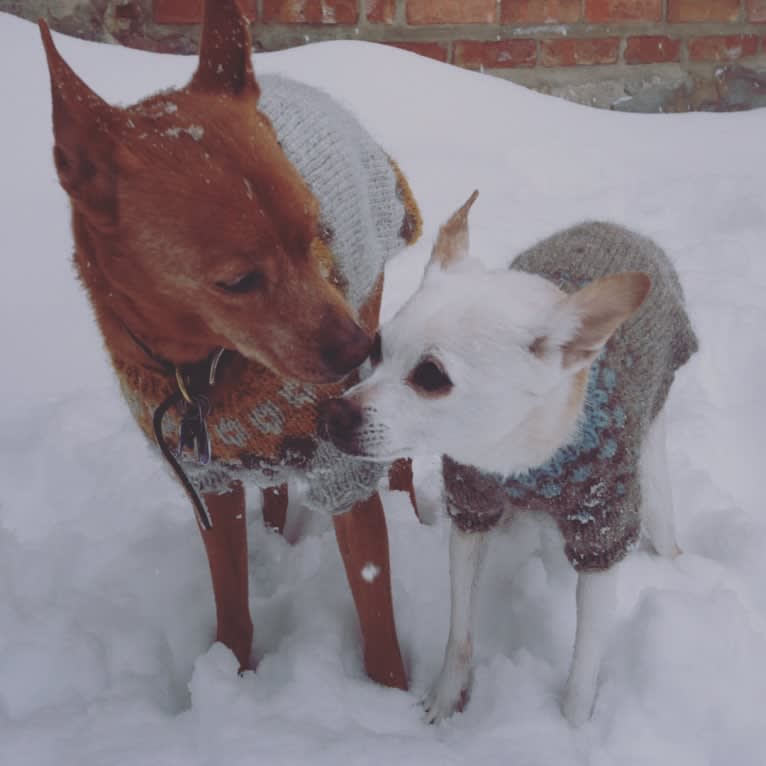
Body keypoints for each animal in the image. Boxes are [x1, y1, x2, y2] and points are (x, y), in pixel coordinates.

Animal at [39, 0, 424, 688]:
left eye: (318, 234)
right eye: (239, 280)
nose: (358, 352)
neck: (201, 372)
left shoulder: (344, 467)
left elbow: (376, 612)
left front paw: (392, 697)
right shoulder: (207, 481)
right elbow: (231, 601)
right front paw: (232, 672)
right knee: (271, 484)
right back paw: (277, 533)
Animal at [320, 192, 700, 728]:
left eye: (431, 376)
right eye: (377, 348)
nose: (333, 413)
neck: (520, 462)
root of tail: (621, 229)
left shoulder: (601, 532)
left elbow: (584, 663)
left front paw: (571, 728)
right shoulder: (471, 512)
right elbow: (459, 629)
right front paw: (445, 700)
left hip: (652, 454)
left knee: (663, 524)